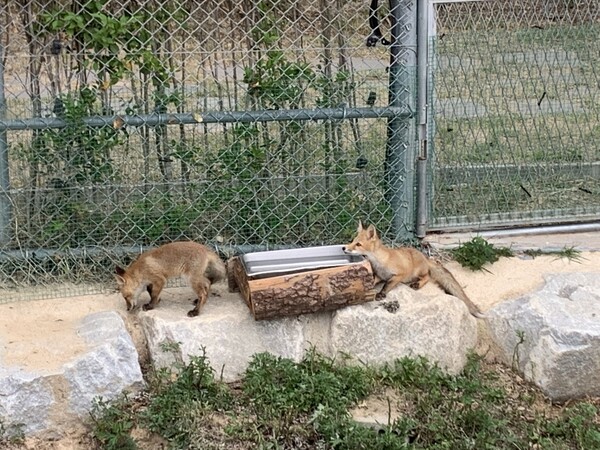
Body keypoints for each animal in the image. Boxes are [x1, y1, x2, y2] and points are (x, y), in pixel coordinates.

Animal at [344, 221, 486, 316]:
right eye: (352, 241)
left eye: (358, 244)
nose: (344, 248)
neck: (380, 261)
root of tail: (425, 256)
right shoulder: (379, 275)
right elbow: (374, 282)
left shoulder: (398, 275)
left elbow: (387, 285)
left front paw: (381, 294)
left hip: (417, 272)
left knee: (427, 276)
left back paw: (417, 284)